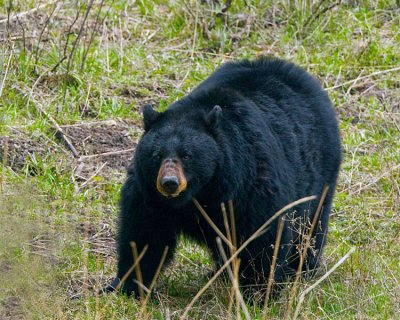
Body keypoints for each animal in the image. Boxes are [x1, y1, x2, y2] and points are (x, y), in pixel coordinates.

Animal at [105, 57, 340, 300]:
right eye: (157, 155)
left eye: (187, 155)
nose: (169, 183)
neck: (202, 192)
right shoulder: (148, 194)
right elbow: (144, 234)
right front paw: (126, 285)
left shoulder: (251, 185)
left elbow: (262, 235)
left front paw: (259, 292)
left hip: (320, 175)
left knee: (311, 224)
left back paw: (301, 269)